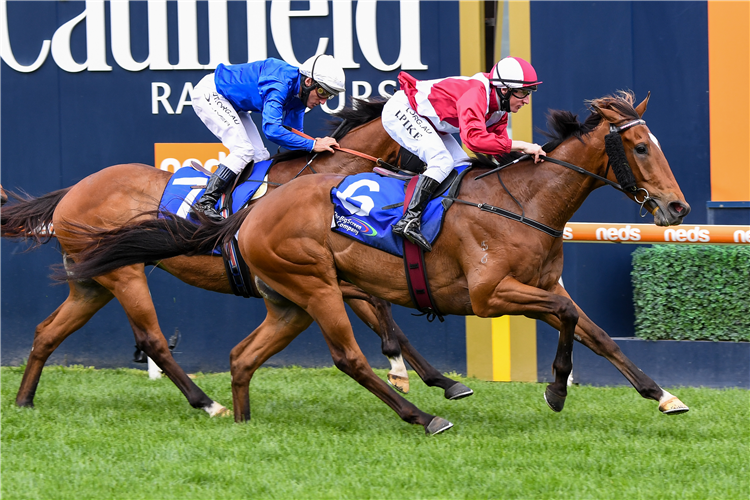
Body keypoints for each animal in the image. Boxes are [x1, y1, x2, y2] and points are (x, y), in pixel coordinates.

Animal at [0, 99, 470, 416]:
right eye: (427, 141)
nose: (456, 175)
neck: (320, 183)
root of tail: (71, 191)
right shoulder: (315, 270)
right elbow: (378, 308)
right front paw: (400, 369)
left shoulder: (330, 271)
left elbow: (386, 318)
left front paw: (442, 382)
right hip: (125, 275)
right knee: (152, 340)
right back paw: (208, 404)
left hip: (91, 281)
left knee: (47, 332)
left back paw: (24, 401)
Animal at [67, 91, 696, 434]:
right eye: (641, 147)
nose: (677, 207)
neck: (522, 202)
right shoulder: (490, 296)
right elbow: (563, 322)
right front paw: (555, 390)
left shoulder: (546, 286)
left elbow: (597, 334)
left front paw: (663, 395)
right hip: (306, 284)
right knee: (341, 355)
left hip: (283, 299)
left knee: (239, 354)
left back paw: (238, 418)